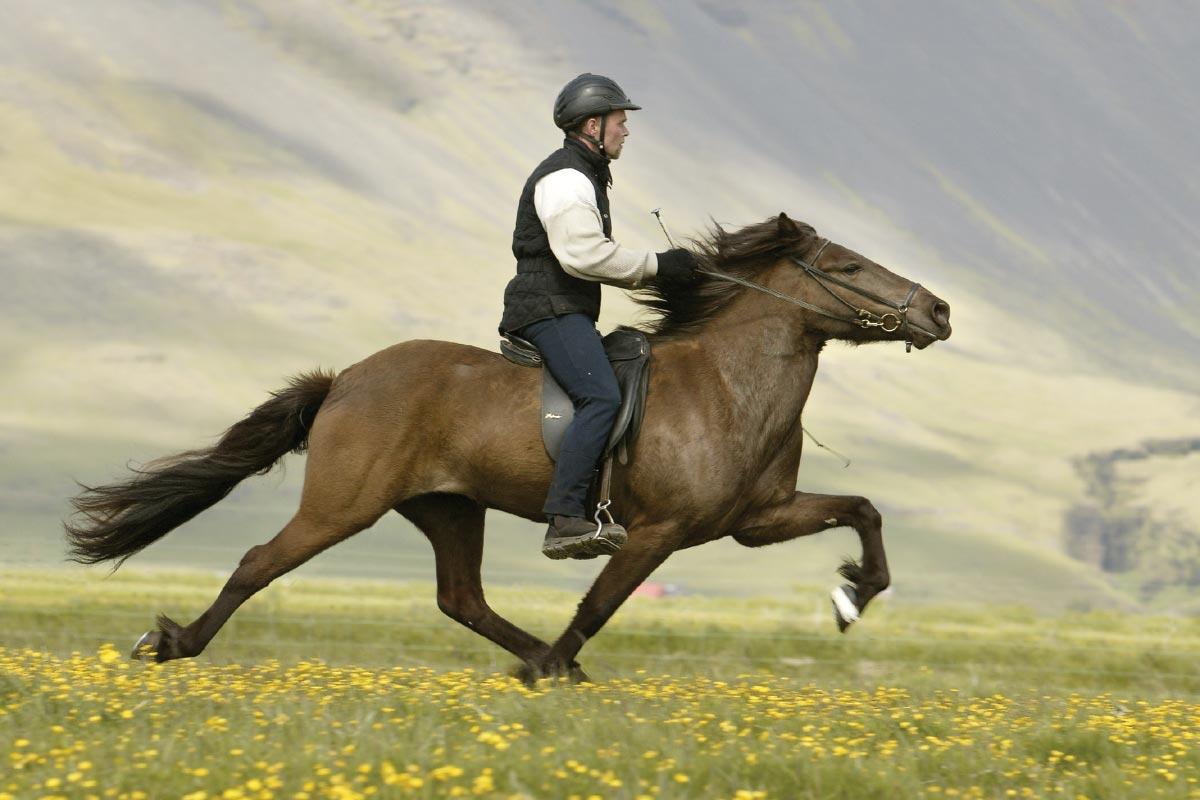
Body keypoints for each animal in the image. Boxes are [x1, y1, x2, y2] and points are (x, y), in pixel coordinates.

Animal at [65, 212, 950, 681]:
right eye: (847, 266)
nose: (938, 310)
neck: (728, 385)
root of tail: (346, 379)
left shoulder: (756, 520)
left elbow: (863, 510)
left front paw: (853, 595)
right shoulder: (657, 532)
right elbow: (599, 604)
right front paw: (554, 661)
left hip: (448, 508)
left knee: (462, 599)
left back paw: (545, 664)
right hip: (344, 506)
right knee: (258, 562)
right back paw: (173, 642)